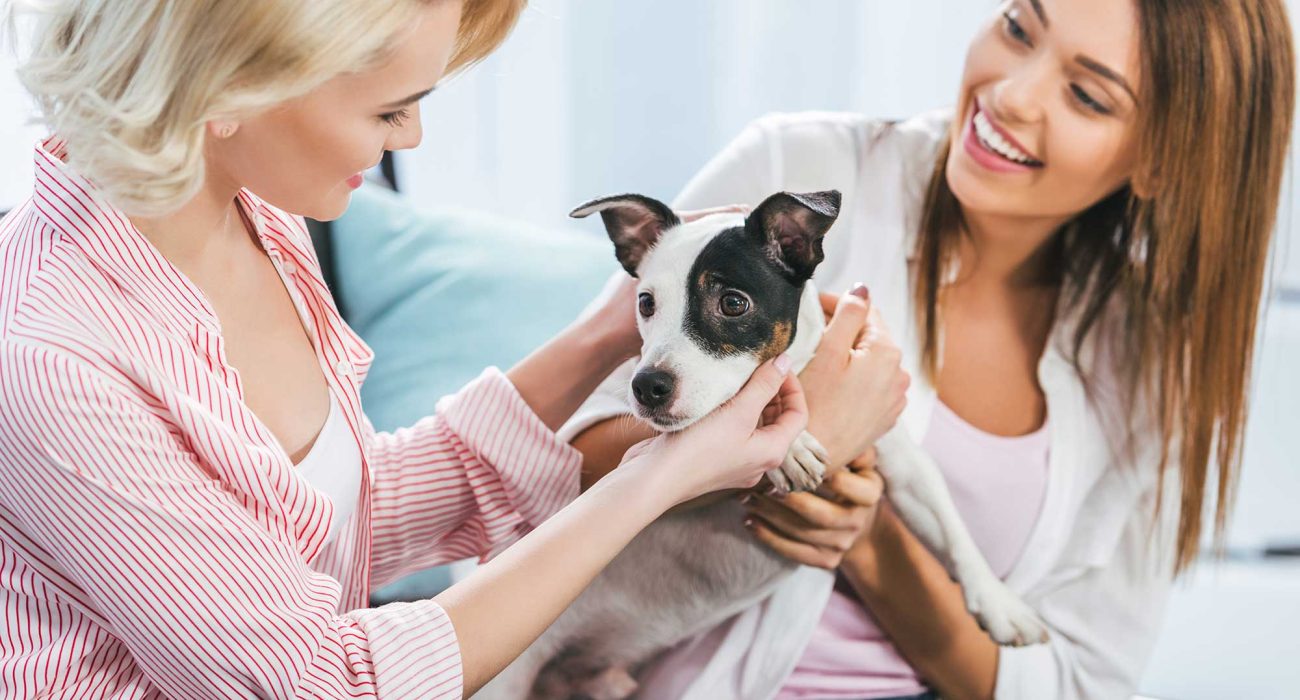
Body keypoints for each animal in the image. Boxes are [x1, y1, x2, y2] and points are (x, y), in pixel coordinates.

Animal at [473, 191, 1050, 697]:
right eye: (646, 303)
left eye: (733, 302)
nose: (646, 386)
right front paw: (788, 445)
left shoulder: (905, 465)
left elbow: (953, 531)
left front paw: (1001, 606)